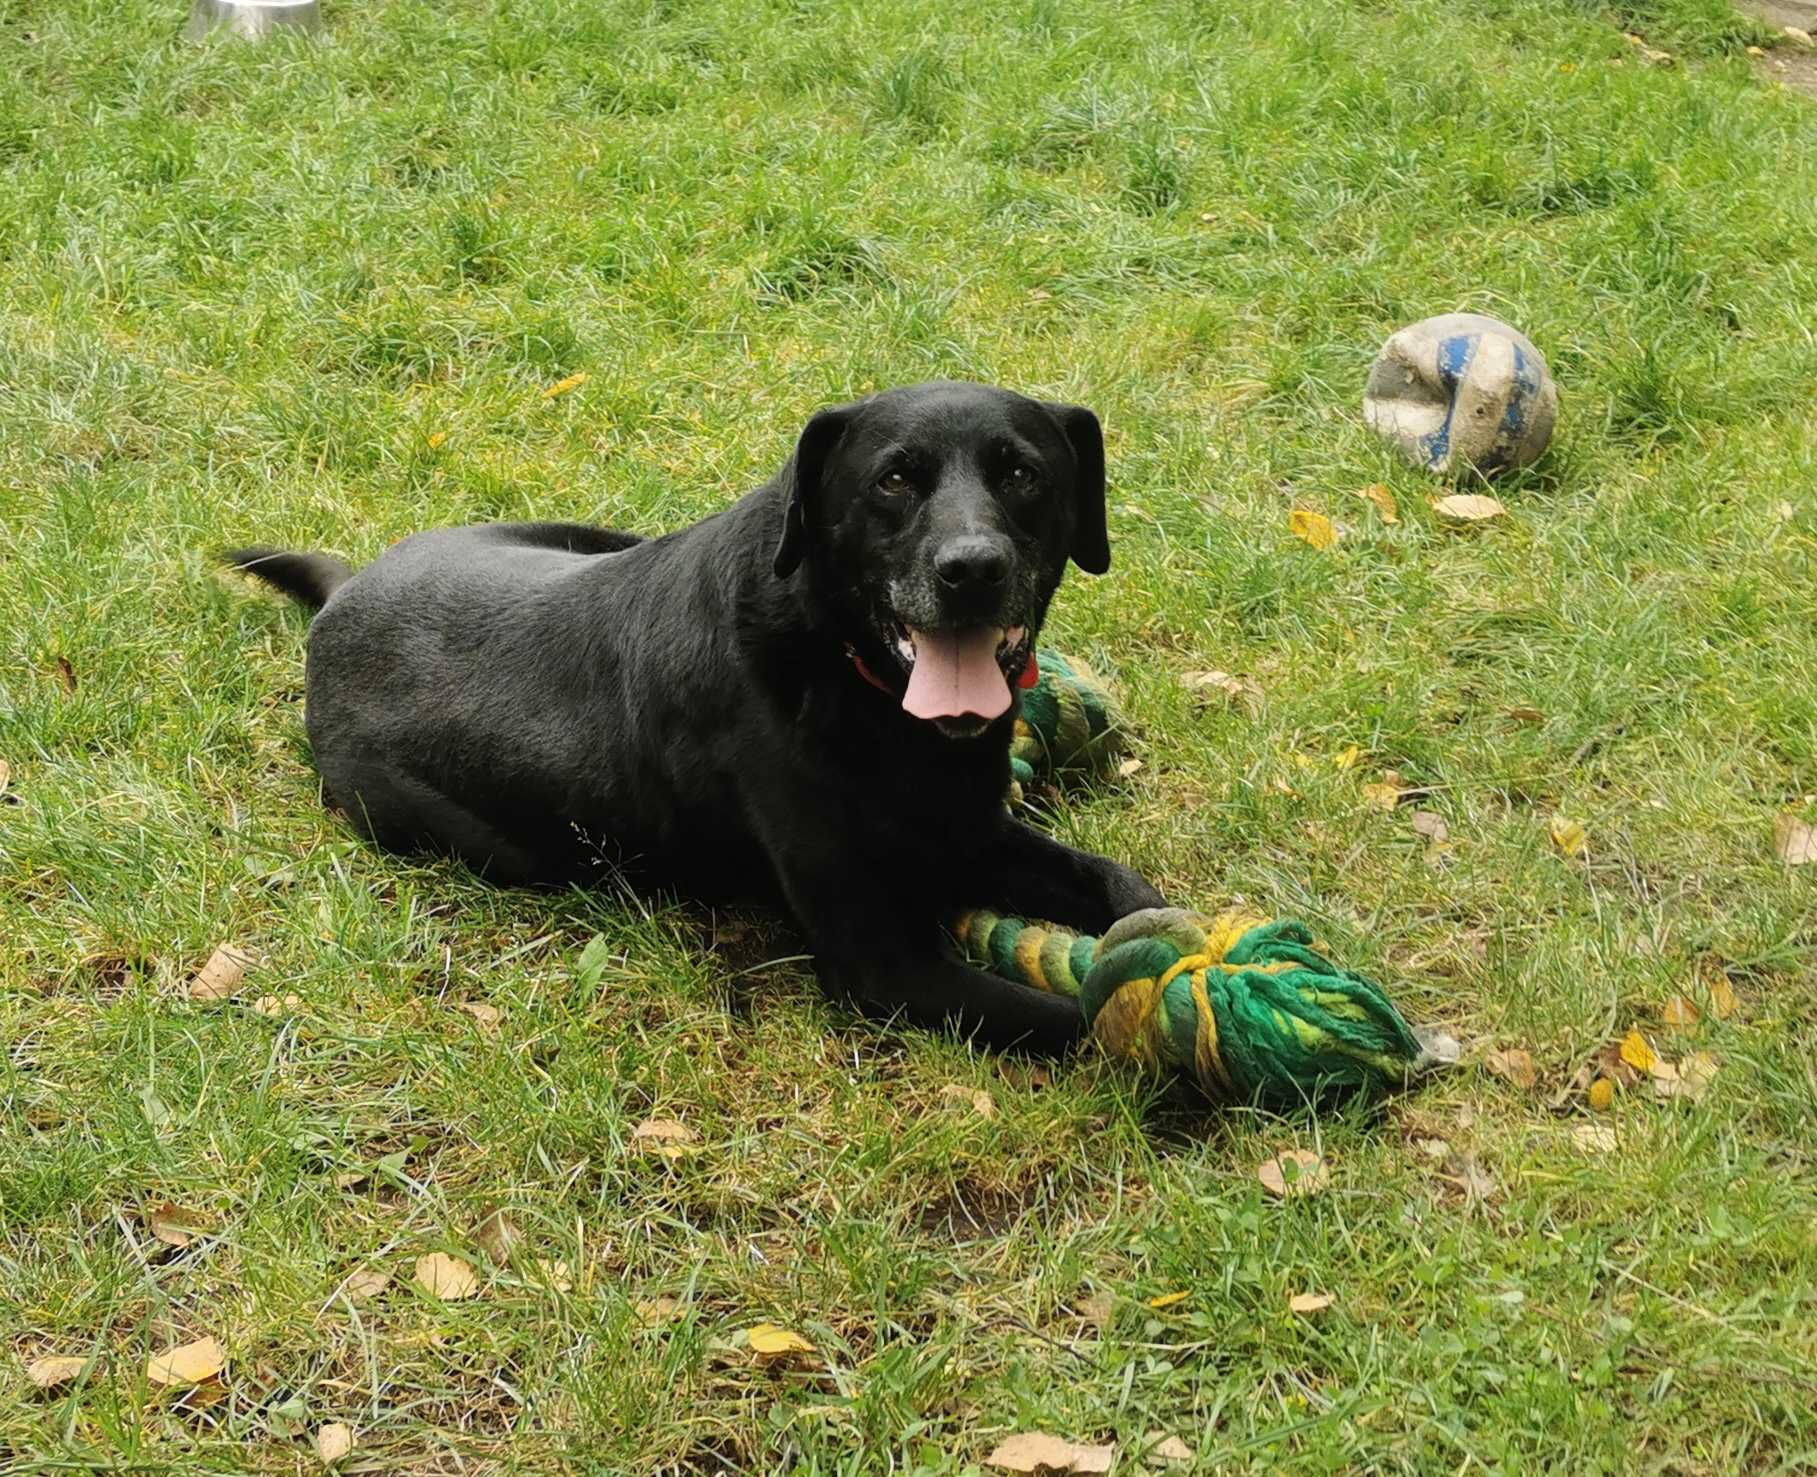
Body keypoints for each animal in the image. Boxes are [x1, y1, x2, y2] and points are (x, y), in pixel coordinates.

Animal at [230, 379, 1162, 1046]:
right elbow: (1086, 1020)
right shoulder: (882, 961)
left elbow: (1125, 888)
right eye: (893, 479)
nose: (970, 568)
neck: (846, 674)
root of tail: (340, 596)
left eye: (1021, 474)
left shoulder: (970, 831)